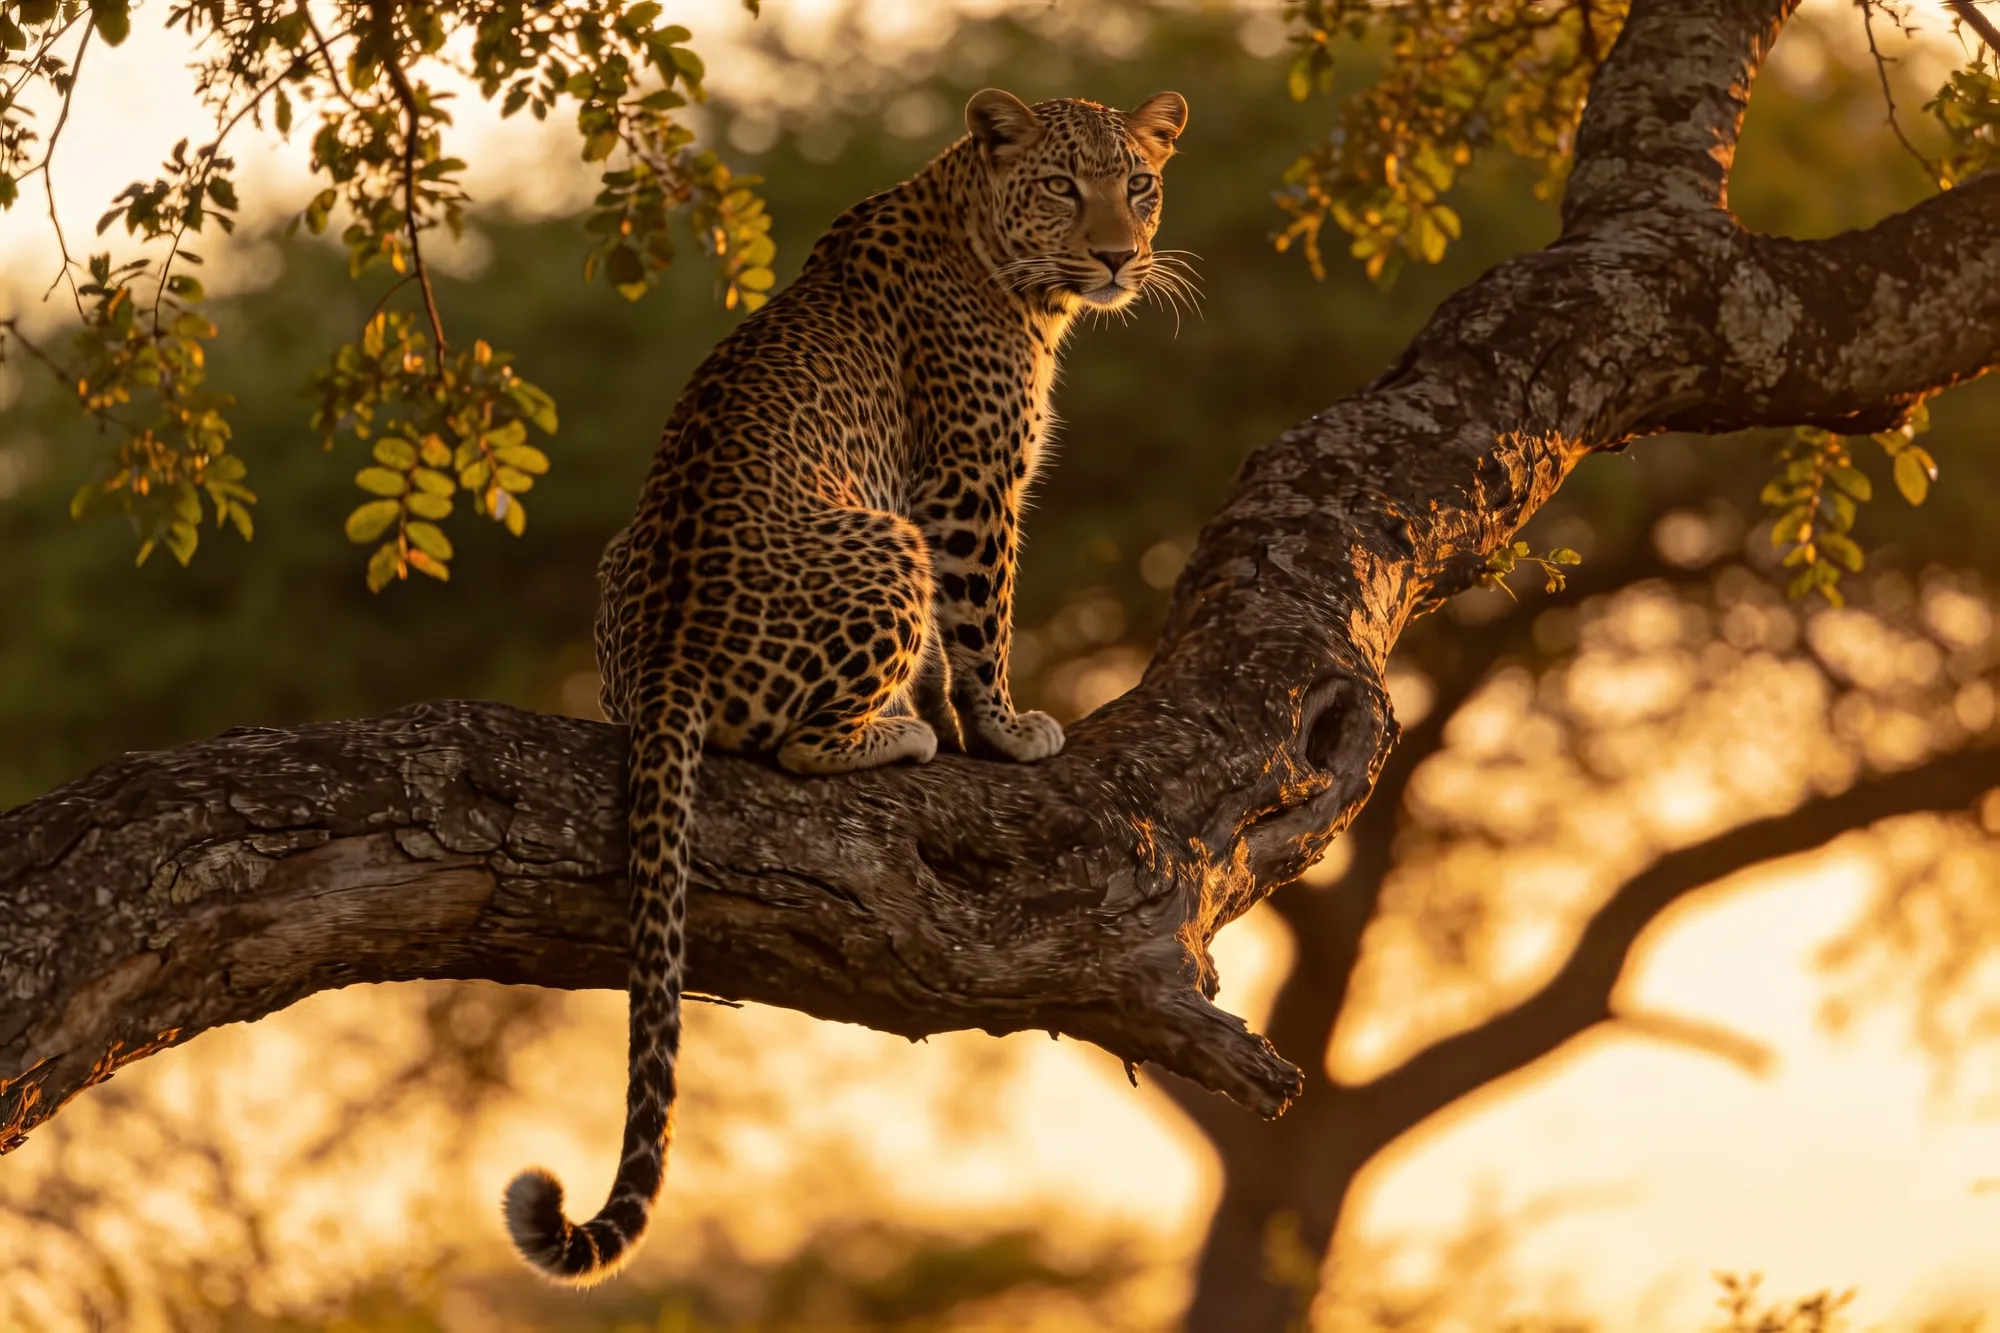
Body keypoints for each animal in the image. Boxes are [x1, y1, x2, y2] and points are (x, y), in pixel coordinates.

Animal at [502, 86, 1191, 1284]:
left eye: (1138, 184)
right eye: (1064, 186)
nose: (1117, 253)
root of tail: (668, 662)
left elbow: (947, 653)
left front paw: (955, 724)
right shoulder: (965, 489)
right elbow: (980, 626)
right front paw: (1000, 733)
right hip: (884, 538)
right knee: (795, 744)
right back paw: (893, 739)